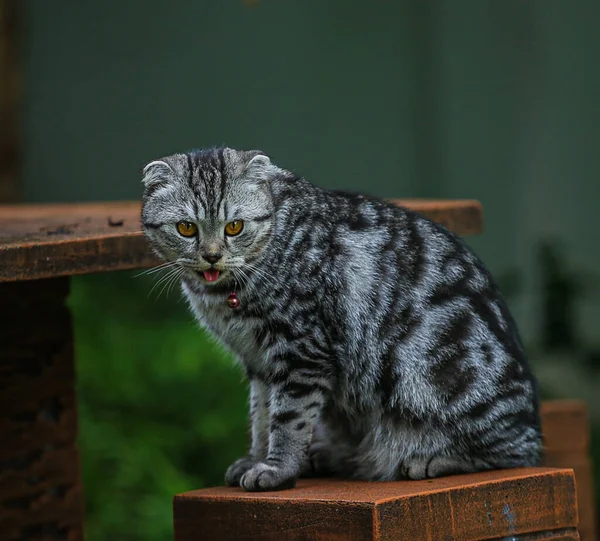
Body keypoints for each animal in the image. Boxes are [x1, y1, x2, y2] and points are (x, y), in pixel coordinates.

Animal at [142, 146, 544, 492]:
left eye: (234, 227)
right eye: (187, 228)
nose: (211, 256)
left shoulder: (301, 353)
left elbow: (287, 421)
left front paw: (276, 468)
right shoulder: (258, 363)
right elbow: (260, 416)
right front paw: (256, 458)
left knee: (515, 452)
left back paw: (429, 460)